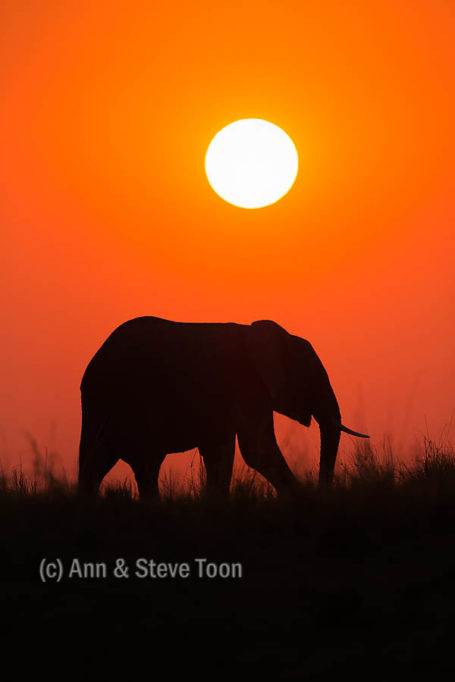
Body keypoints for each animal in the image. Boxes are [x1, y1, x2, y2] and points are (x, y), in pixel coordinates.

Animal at [78, 316, 369, 499]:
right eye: (313, 378)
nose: (324, 492)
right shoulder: (245, 385)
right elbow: (257, 451)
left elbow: (221, 451)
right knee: (144, 463)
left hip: (100, 407)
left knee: (98, 461)